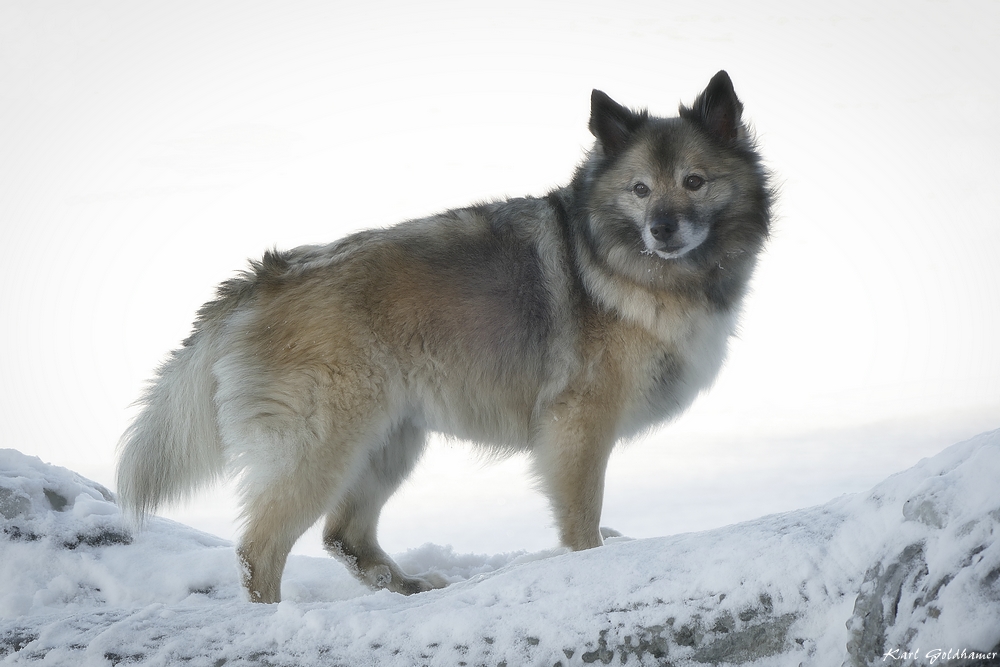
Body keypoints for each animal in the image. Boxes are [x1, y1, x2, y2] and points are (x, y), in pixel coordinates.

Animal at [117, 70, 772, 604]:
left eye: (694, 181)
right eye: (640, 189)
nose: (663, 229)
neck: (624, 264)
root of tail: (265, 276)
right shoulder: (579, 428)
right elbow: (582, 522)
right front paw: (592, 566)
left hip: (389, 440)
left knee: (343, 534)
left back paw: (405, 586)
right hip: (323, 445)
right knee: (260, 550)